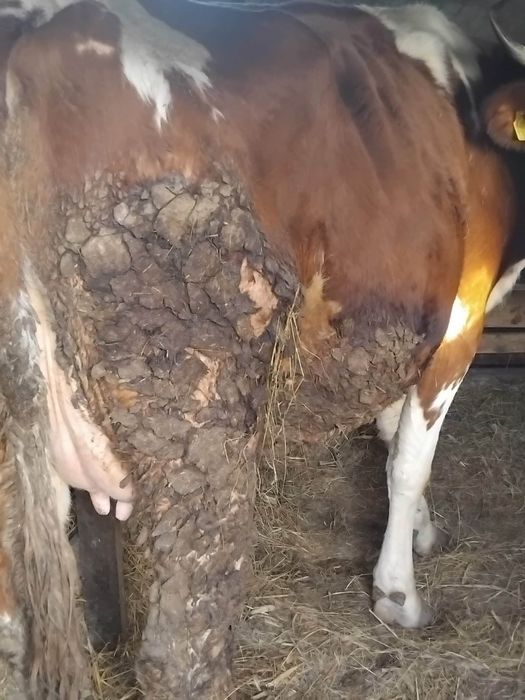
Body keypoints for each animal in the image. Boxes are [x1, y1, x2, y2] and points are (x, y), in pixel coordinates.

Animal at [0, 0, 524, 696]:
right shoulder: (460, 319)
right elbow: (410, 461)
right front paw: (398, 594)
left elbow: (390, 434)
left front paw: (419, 532)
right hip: (200, 423)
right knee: (181, 651)